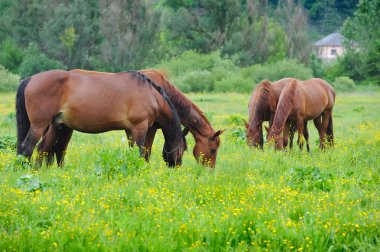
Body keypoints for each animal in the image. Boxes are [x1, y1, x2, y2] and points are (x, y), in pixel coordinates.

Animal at [15, 69, 185, 167]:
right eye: (182, 150)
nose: (176, 167)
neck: (151, 95)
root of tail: (30, 79)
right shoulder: (139, 127)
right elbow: (140, 153)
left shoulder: (130, 130)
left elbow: (133, 152)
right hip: (39, 125)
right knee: (27, 148)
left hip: (56, 126)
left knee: (42, 148)